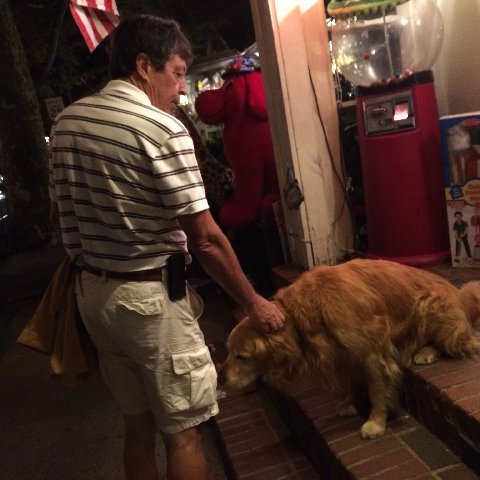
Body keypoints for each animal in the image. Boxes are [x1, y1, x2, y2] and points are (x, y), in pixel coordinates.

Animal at [218, 259, 480, 439]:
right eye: (228, 351)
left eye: (241, 357)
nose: (221, 378)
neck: (305, 313)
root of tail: (459, 294)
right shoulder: (343, 355)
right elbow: (352, 383)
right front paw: (350, 403)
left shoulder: (371, 353)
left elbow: (377, 390)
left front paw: (376, 423)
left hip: (429, 306)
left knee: (456, 340)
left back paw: (427, 352)